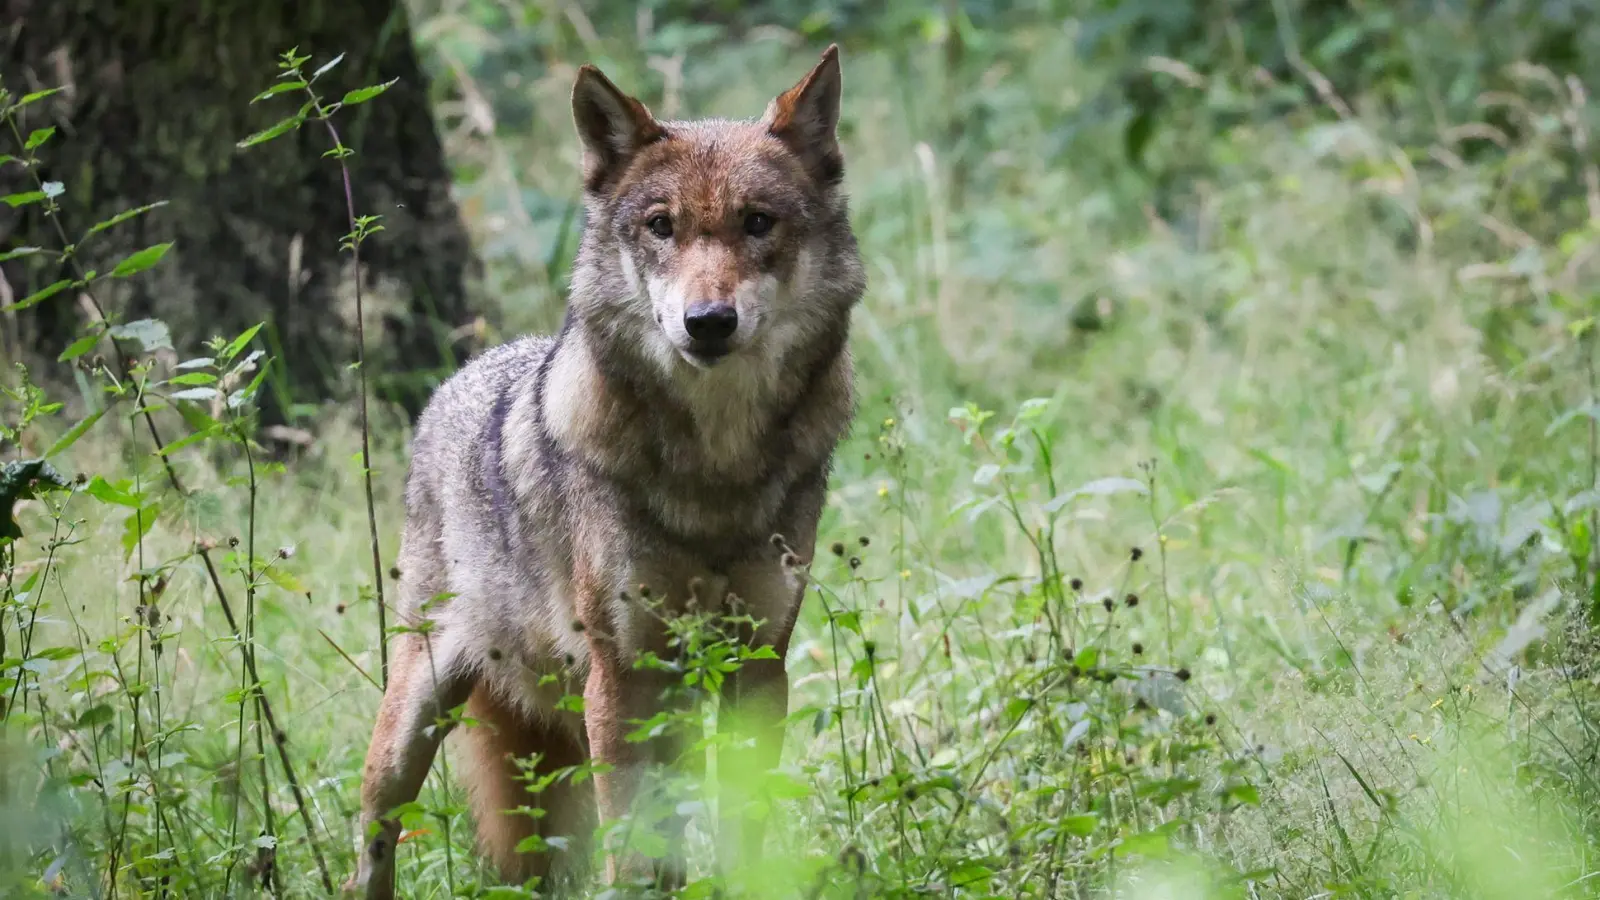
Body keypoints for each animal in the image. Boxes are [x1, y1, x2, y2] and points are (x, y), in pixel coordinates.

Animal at [347, 43, 864, 896]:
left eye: (758, 223)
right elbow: (634, 847)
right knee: (375, 831)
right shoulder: (623, 678)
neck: (715, 469)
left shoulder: (758, 666)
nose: (708, 322)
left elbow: (743, 830)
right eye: (661, 227)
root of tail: (459, 379)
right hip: (415, 720)